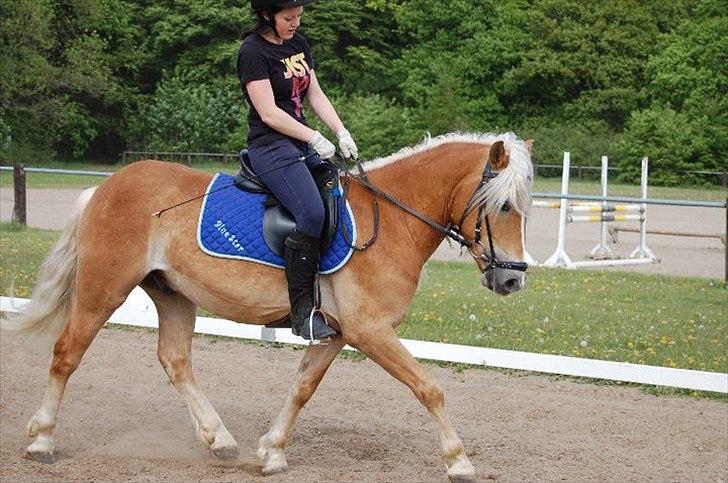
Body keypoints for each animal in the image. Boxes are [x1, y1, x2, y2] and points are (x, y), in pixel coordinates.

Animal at [2, 131, 533, 481]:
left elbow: (301, 389)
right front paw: (459, 460)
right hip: (104, 287)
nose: (512, 278)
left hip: (173, 295)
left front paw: (272, 451)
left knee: (175, 361)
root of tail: (107, 186)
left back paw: (221, 441)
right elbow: (430, 388)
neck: (393, 220)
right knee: (67, 353)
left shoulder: (336, 332)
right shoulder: (370, 331)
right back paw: (42, 441)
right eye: (504, 206)